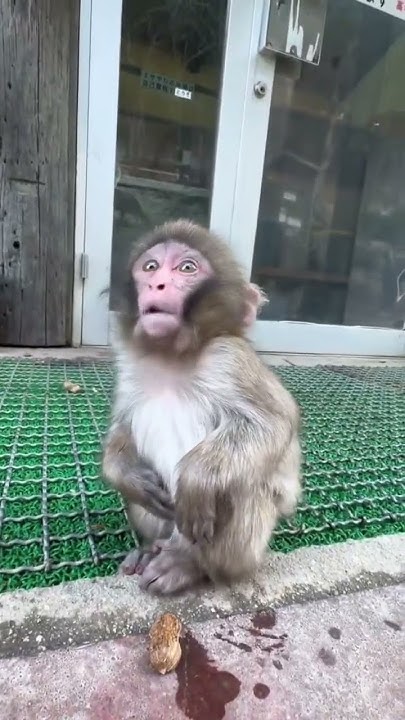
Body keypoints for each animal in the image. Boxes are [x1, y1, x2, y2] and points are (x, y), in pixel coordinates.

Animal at [102, 219, 302, 595]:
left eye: (187, 268)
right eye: (150, 267)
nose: (157, 284)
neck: (170, 358)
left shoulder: (228, 358)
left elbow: (272, 423)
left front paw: (197, 478)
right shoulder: (129, 368)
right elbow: (122, 425)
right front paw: (124, 474)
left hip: (249, 543)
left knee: (242, 484)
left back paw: (188, 564)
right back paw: (148, 548)